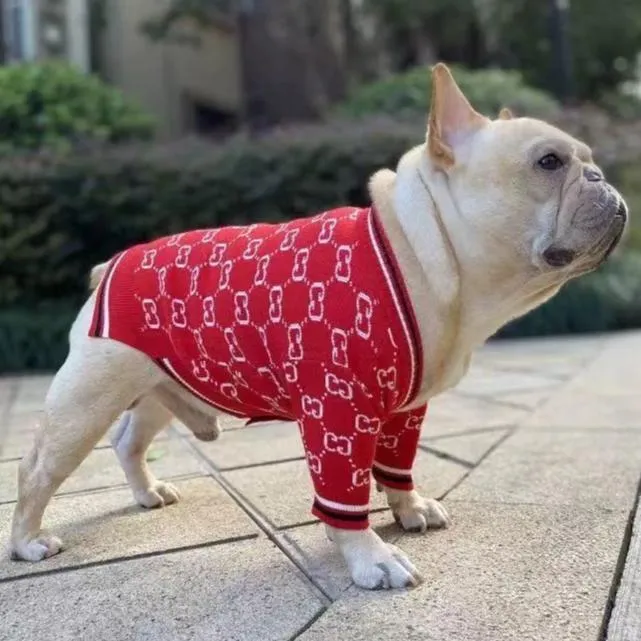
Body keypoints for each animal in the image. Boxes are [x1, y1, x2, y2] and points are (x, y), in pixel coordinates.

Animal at [6, 65, 624, 592]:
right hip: (88, 398)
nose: (602, 176)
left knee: (129, 440)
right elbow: (343, 493)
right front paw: (372, 558)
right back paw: (28, 542)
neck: (418, 250)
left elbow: (397, 467)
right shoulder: (337, 412)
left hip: (160, 385)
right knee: (37, 469)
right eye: (549, 162)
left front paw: (409, 508)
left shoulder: (403, 412)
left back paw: (147, 493)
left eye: (587, 160)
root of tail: (107, 267)